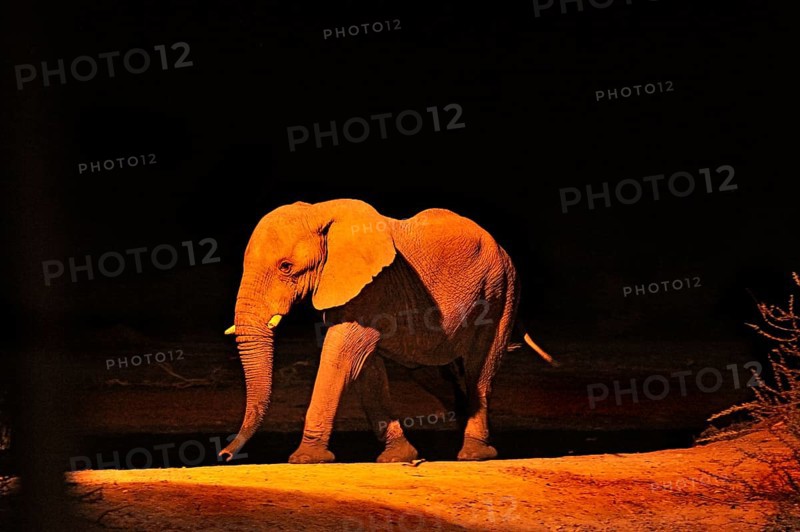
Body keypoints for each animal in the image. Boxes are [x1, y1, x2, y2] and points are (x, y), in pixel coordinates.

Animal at [219, 199, 554, 464]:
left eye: (286, 267)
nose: (224, 455)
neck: (320, 212)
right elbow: (366, 367)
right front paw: (399, 457)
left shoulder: (374, 289)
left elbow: (341, 357)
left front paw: (305, 459)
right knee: (436, 373)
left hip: (501, 291)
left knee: (479, 368)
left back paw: (474, 453)